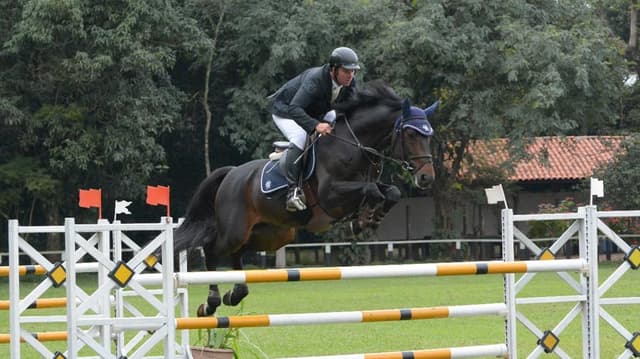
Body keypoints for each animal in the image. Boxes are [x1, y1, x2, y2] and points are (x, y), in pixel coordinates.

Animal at [172, 80, 438, 316]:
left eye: (429, 135)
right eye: (410, 134)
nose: (426, 177)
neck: (355, 145)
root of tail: (231, 173)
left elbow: (390, 192)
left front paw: (367, 219)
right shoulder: (331, 195)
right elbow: (371, 191)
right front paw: (362, 220)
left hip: (272, 234)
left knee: (239, 253)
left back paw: (236, 293)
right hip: (234, 229)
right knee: (212, 248)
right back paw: (211, 303)